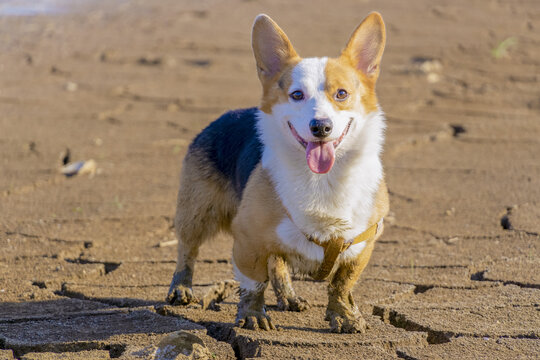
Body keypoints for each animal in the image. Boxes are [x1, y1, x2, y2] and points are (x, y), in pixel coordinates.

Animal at [166, 12, 388, 334]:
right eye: (296, 94)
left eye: (342, 94)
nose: (321, 127)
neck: (322, 181)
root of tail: (226, 115)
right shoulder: (248, 239)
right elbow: (253, 283)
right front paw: (253, 316)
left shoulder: (361, 245)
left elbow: (341, 284)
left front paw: (344, 316)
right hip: (197, 212)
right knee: (188, 249)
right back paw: (181, 289)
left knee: (279, 265)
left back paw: (290, 297)